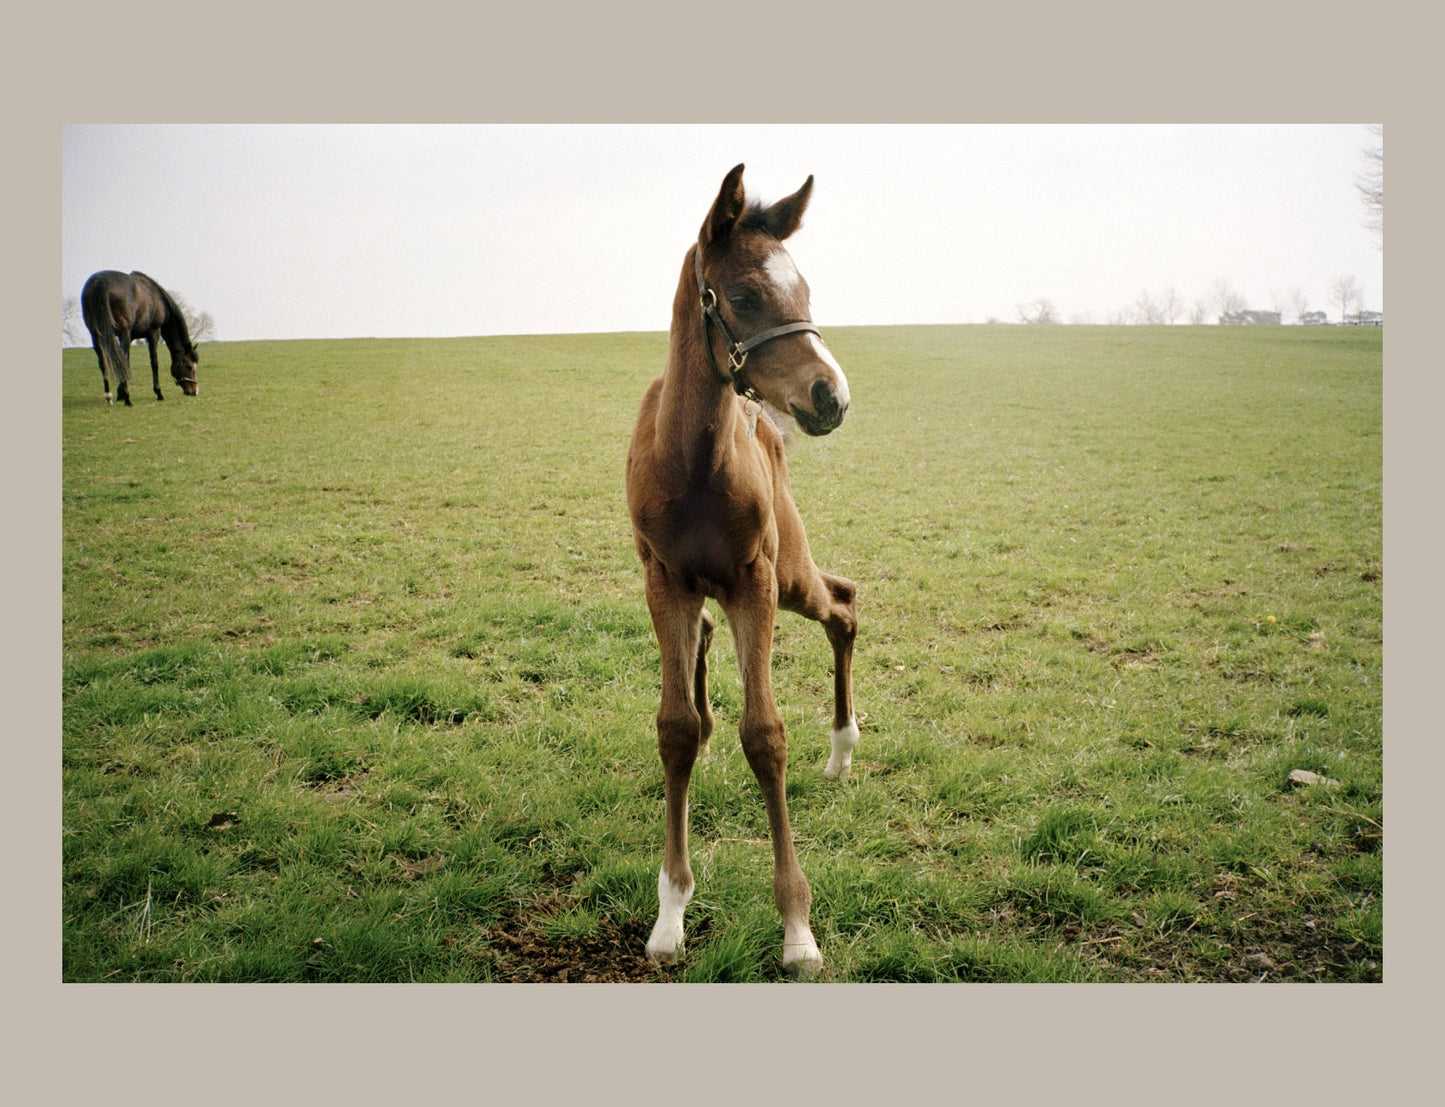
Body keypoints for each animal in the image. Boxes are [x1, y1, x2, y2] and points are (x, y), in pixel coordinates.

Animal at [80, 270, 199, 406]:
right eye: (189, 366)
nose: (194, 391)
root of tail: (100, 282)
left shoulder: (131, 337)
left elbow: (127, 363)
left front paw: (120, 393)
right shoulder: (153, 333)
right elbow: (154, 362)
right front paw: (158, 393)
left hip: (96, 335)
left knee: (104, 363)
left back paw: (109, 396)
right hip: (123, 333)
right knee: (120, 360)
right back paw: (128, 399)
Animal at [625, 164, 859, 978]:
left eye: (807, 290)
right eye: (747, 295)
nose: (830, 396)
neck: (693, 463)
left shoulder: (754, 581)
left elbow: (764, 734)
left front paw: (797, 928)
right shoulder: (663, 578)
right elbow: (673, 728)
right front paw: (670, 911)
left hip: (790, 575)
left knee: (845, 603)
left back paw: (843, 747)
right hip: (718, 588)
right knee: (702, 645)